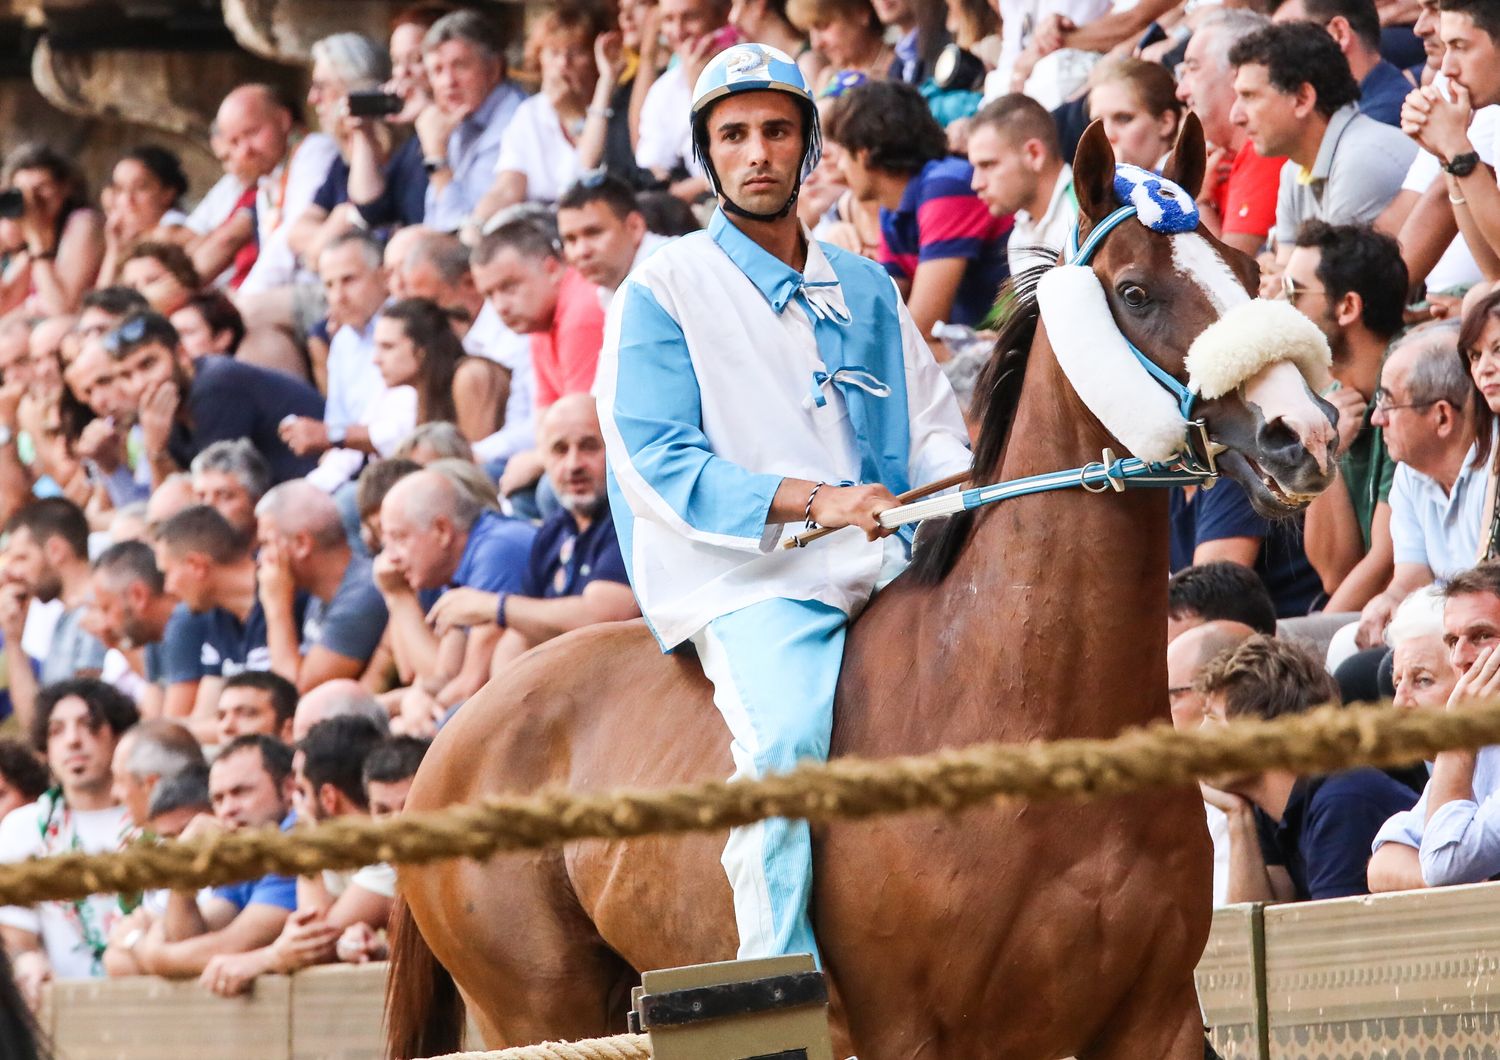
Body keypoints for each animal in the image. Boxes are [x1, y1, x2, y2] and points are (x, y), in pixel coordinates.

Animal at [384, 116, 1338, 1060]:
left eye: (1247, 267)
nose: (1304, 434)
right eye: (1136, 291)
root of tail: (453, 732)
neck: (1014, 719)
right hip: (540, 1004)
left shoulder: (1152, 1020)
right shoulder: (905, 1031)